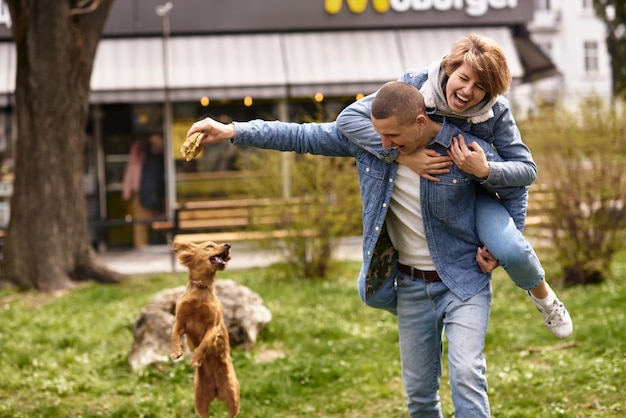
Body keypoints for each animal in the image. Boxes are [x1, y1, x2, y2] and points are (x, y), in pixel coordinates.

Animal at [169, 240, 240, 418]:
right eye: (209, 246)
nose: (228, 244)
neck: (200, 289)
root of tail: (215, 390)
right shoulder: (180, 322)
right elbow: (174, 335)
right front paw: (176, 351)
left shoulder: (213, 327)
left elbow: (205, 343)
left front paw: (195, 357)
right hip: (200, 402)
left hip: (233, 399)